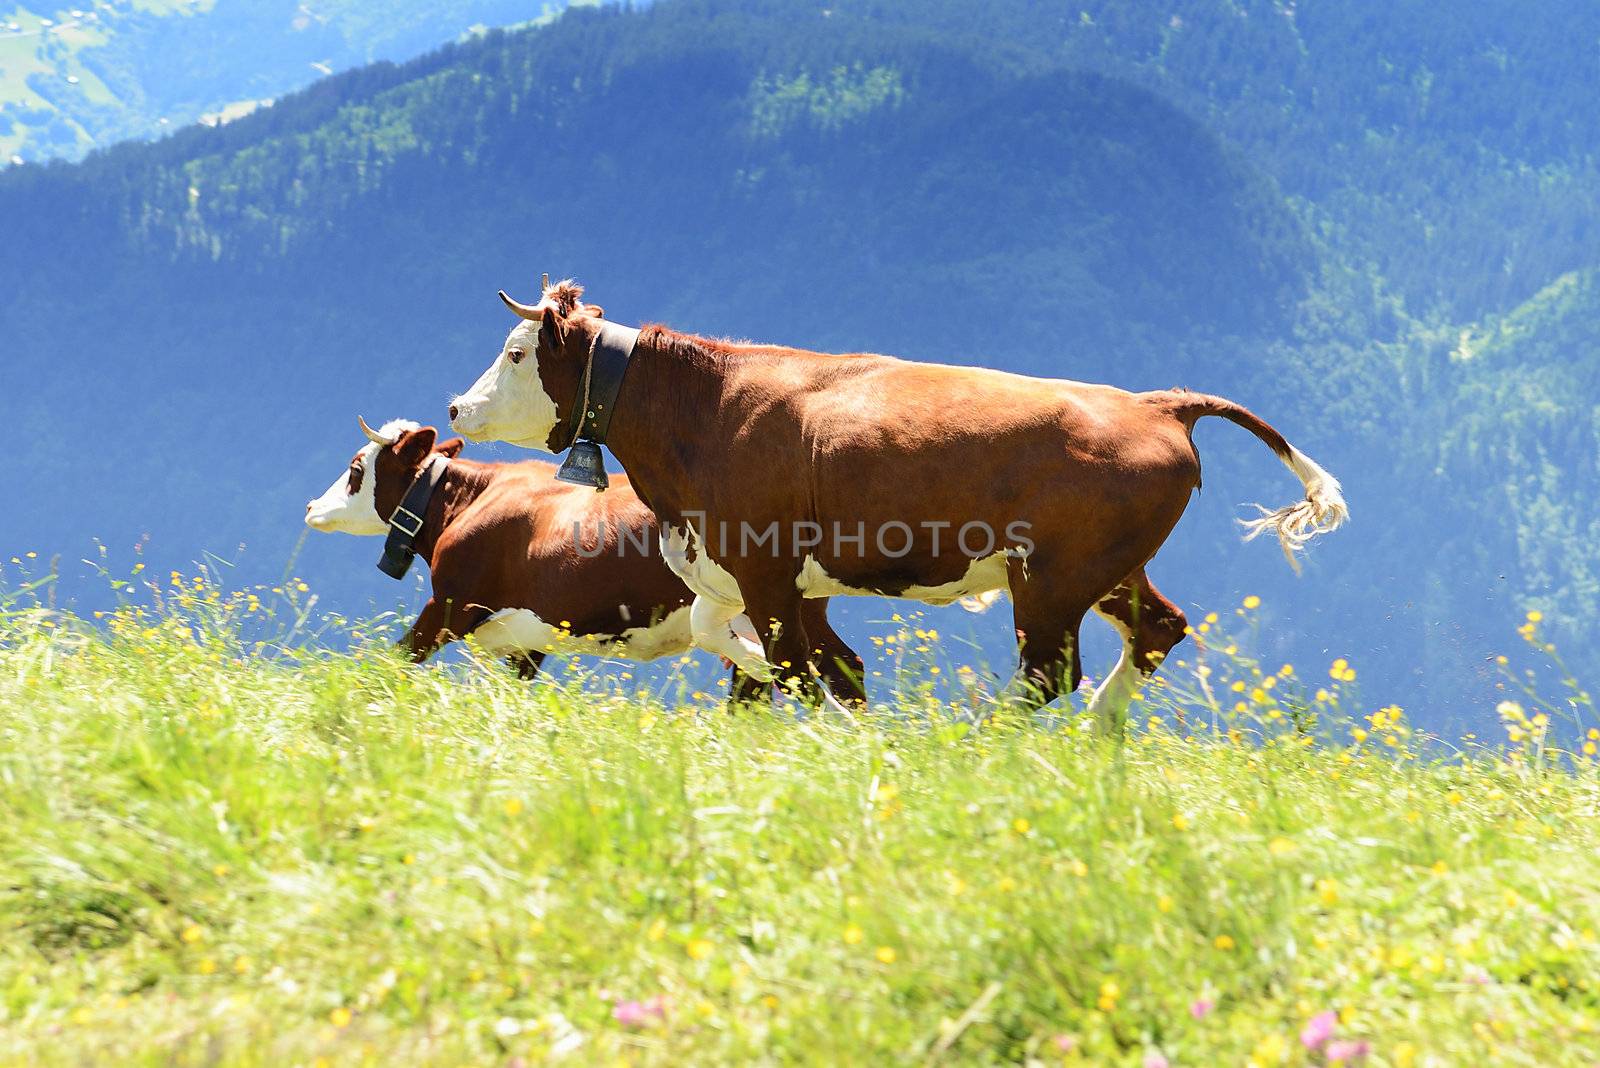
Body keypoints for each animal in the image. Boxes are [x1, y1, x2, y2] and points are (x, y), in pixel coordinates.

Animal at [299, 412, 851, 697]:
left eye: (356, 468)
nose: (310, 505)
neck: (472, 499)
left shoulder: (450, 605)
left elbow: (396, 658)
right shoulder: (525, 642)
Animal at [454, 282, 1350, 735]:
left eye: (515, 352)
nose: (459, 410)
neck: (703, 414)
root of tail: (1157, 403)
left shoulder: (764, 566)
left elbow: (793, 666)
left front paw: (826, 730)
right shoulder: (749, 571)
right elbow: (767, 652)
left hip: (1053, 578)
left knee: (1050, 671)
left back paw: (983, 748)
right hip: (1111, 569)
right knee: (1158, 629)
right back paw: (1101, 733)